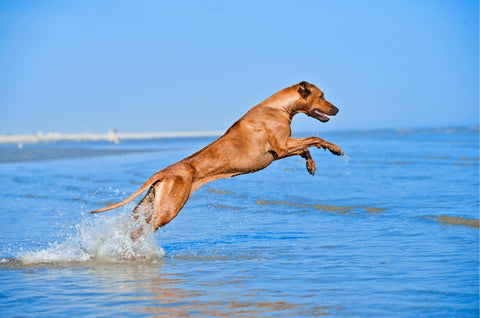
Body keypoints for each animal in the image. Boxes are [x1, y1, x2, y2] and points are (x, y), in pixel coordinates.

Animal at [90, 82, 344, 235]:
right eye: (322, 96)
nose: (338, 109)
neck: (279, 107)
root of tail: (165, 171)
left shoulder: (281, 150)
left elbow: (306, 149)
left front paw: (311, 164)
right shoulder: (281, 147)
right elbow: (313, 138)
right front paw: (334, 147)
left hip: (147, 205)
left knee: (134, 224)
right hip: (169, 208)